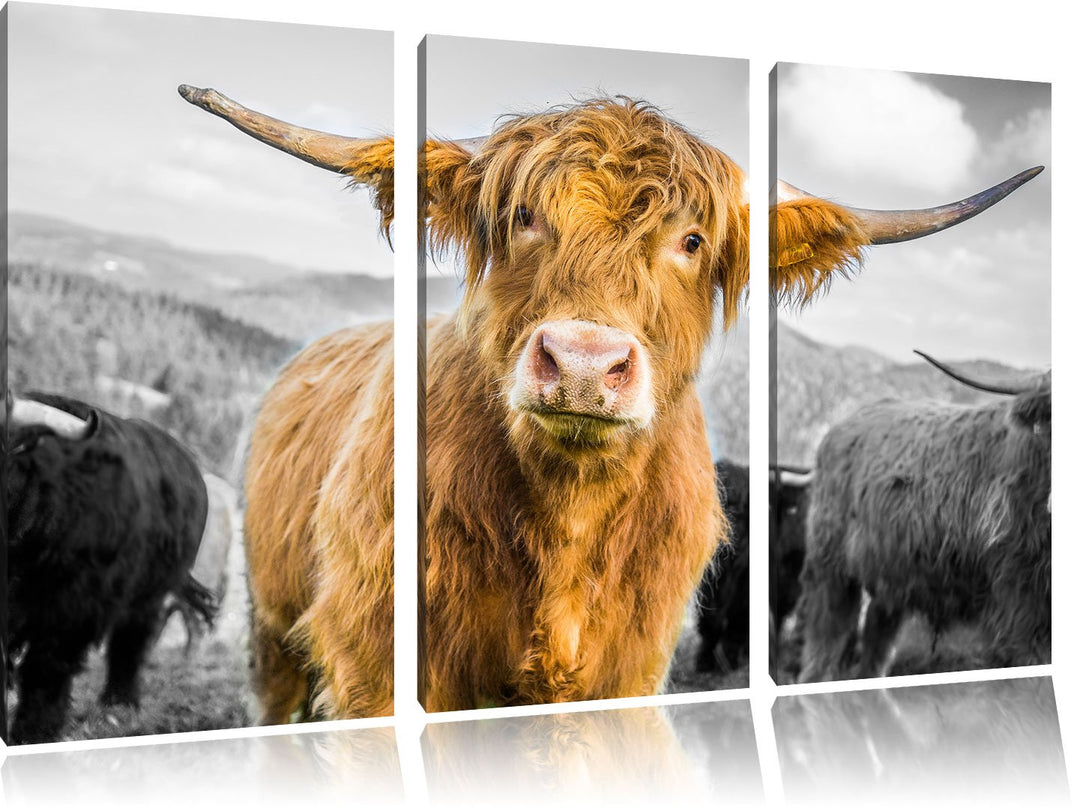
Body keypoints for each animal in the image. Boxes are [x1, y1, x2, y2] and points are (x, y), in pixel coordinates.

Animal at [6, 392, 214, 744]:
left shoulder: (72, 609)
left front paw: (34, 730)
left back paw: (119, 703)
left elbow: (46, 667)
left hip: (149, 595)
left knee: (130, 643)